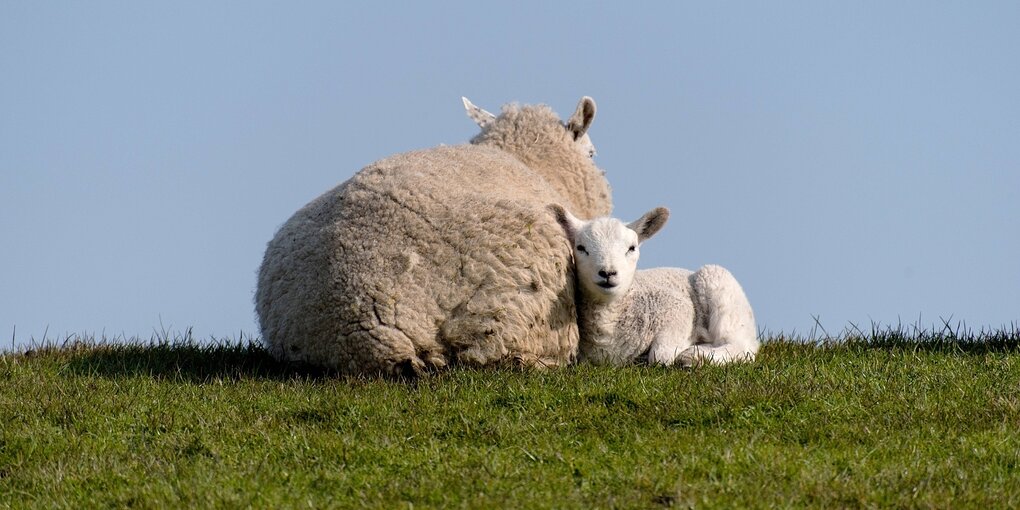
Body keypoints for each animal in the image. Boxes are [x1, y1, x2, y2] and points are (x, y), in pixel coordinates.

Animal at [550, 202, 758, 367]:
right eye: (581, 248)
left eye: (632, 248)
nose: (608, 273)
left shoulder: (678, 308)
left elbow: (661, 356)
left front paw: (688, 346)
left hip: (719, 284)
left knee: (741, 346)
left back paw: (695, 355)